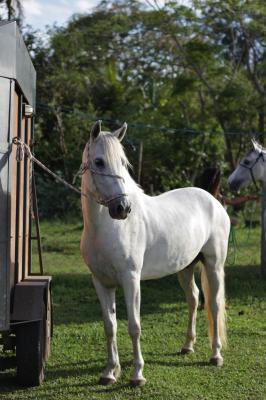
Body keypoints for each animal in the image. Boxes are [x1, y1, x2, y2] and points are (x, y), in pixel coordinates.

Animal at [80, 122, 230, 388]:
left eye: (123, 162)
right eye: (99, 161)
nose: (123, 209)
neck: (108, 229)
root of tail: (212, 199)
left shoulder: (131, 280)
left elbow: (134, 326)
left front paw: (137, 375)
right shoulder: (101, 282)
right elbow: (110, 326)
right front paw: (109, 372)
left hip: (213, 266)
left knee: (213, 305)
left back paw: (215, 356)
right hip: (185, 268)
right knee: (193, 298)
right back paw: (187, 346)